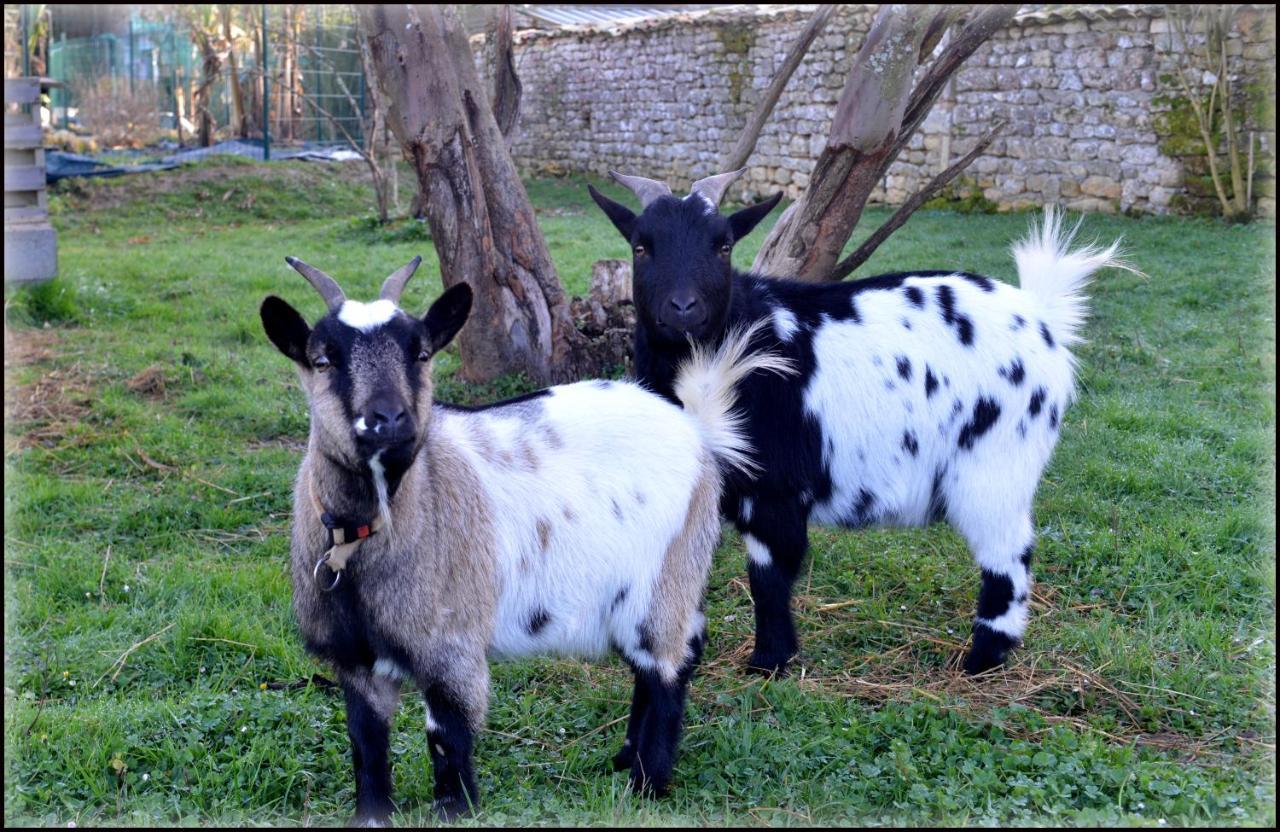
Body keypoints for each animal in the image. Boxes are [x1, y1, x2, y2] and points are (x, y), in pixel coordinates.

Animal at [257, 256, 788, 819]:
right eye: (322, 360)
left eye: (420, 352)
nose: (388, 419)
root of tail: (697, 431)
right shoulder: (354, 662)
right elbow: (366, 745)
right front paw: (373, 815)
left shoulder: (452, 645)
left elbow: (447, 739)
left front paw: (457, 811)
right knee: (649, 665)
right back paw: (623, 759)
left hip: (671, 570)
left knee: (670, 663)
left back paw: (647, 782)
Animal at [588, 168, 1131, 675]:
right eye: (641, 245)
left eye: (723, 245)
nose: (683, 309)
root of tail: (1040, 316)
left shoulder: (776, 487)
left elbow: (768, 574)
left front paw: (769, 662)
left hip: (996, 465)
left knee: (1009, 559)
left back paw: (981, 661)